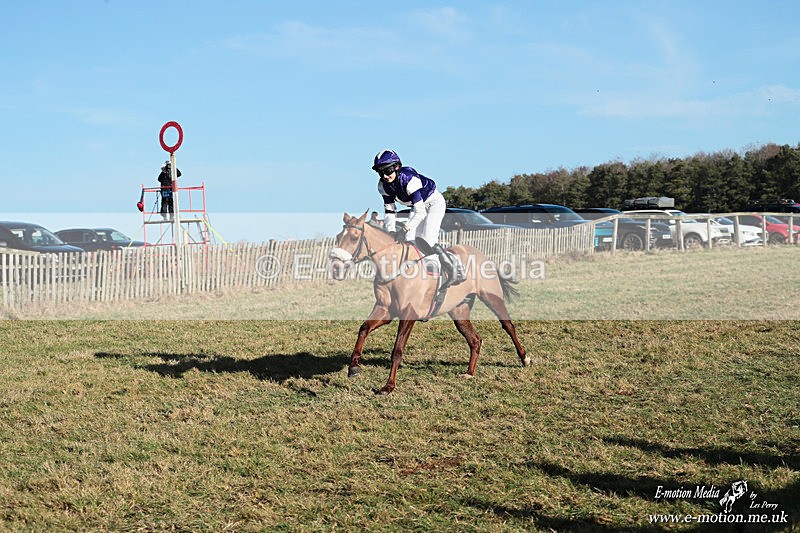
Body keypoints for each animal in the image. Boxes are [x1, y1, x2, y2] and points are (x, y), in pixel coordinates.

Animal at [329, 211, 529, 395]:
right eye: (338, 237)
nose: (336, 268)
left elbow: (397, 350)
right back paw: (470, 372)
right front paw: (354, 367)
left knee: (508, 325)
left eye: (354, 238)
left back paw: (524, 358)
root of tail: (483, 256)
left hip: (492, 298)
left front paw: (388, 386)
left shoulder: (408, 314)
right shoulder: (385, 310)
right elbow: (363, 329)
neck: (394, 267)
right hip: (459, 311)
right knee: (475, 340)